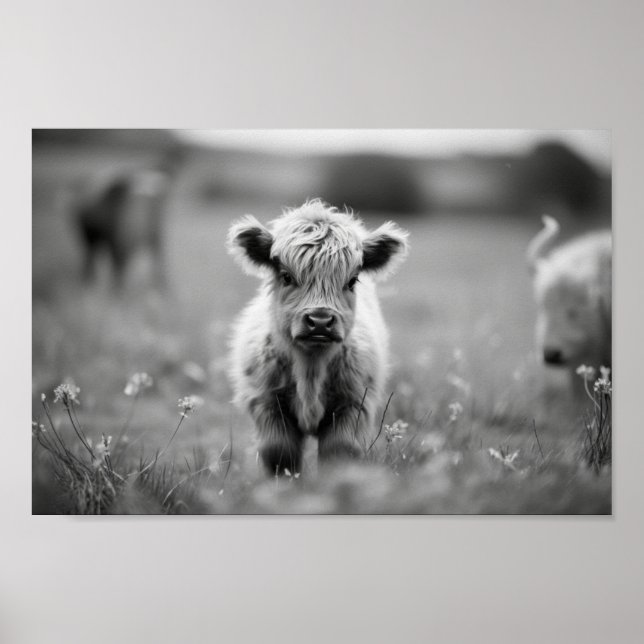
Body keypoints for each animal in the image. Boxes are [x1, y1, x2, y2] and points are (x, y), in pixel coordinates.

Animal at [227, 199, 409, 475]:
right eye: (286, 276)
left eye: (352, 280)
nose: (320, 321)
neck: (310, 370)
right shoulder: (266, 402)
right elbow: (280, 452)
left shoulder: (353, 404)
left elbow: (339, 451)